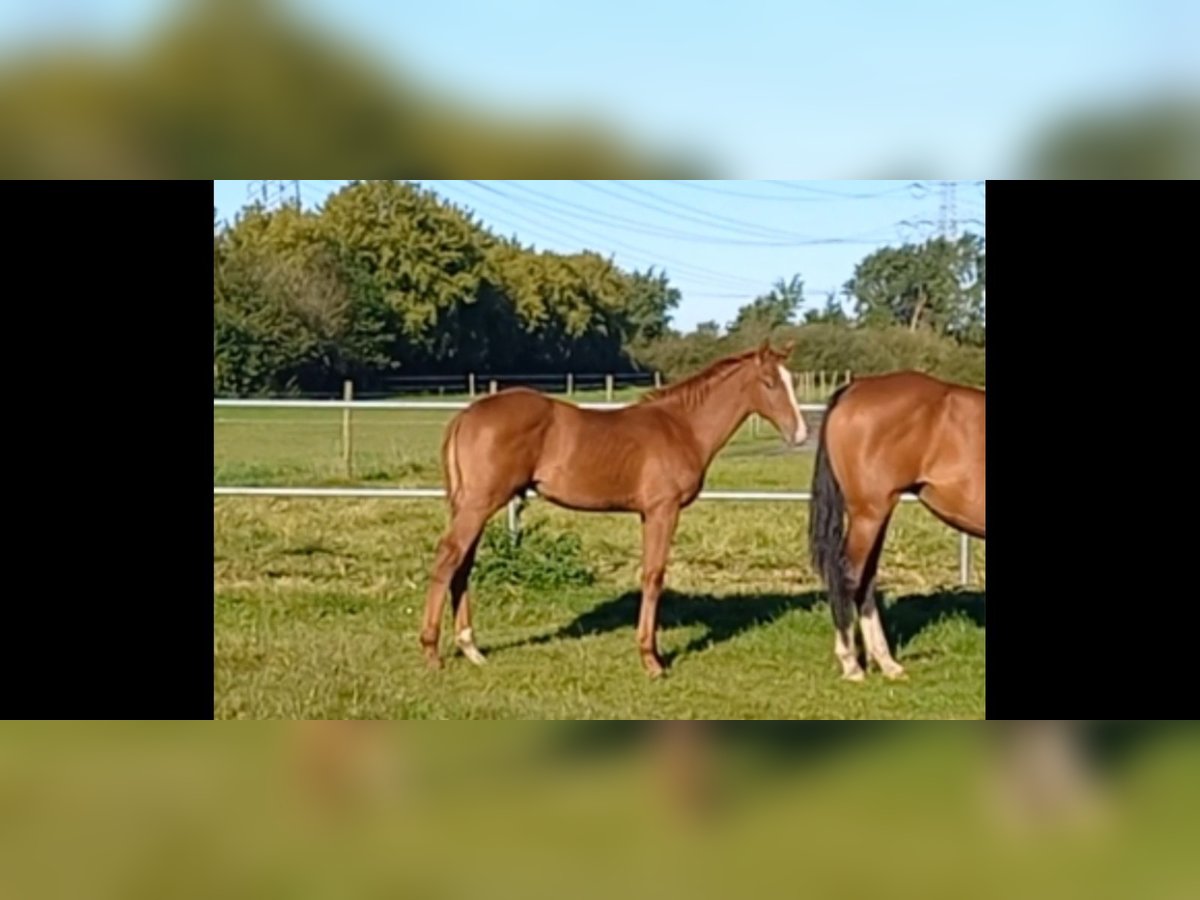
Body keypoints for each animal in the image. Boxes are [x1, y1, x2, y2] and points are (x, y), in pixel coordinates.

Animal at [420, 340, 806, 681]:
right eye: (769, 382)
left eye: (791, 381)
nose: (800, 435)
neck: (681, 426)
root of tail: (466, 414)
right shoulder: (663, 510)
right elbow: (653, 576)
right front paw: (651, 660)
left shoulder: (648, 514)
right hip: (480, 503)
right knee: (448, 558)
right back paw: (431, 652)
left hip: (471, 505)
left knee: (463, 564)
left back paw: (470, 648)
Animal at [806, 369, 984, 681]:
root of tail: (855, 388)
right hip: (869, 514)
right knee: (849, 577)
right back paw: (852, 664)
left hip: (879, 513)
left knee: (866, 581)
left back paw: (886, 662)